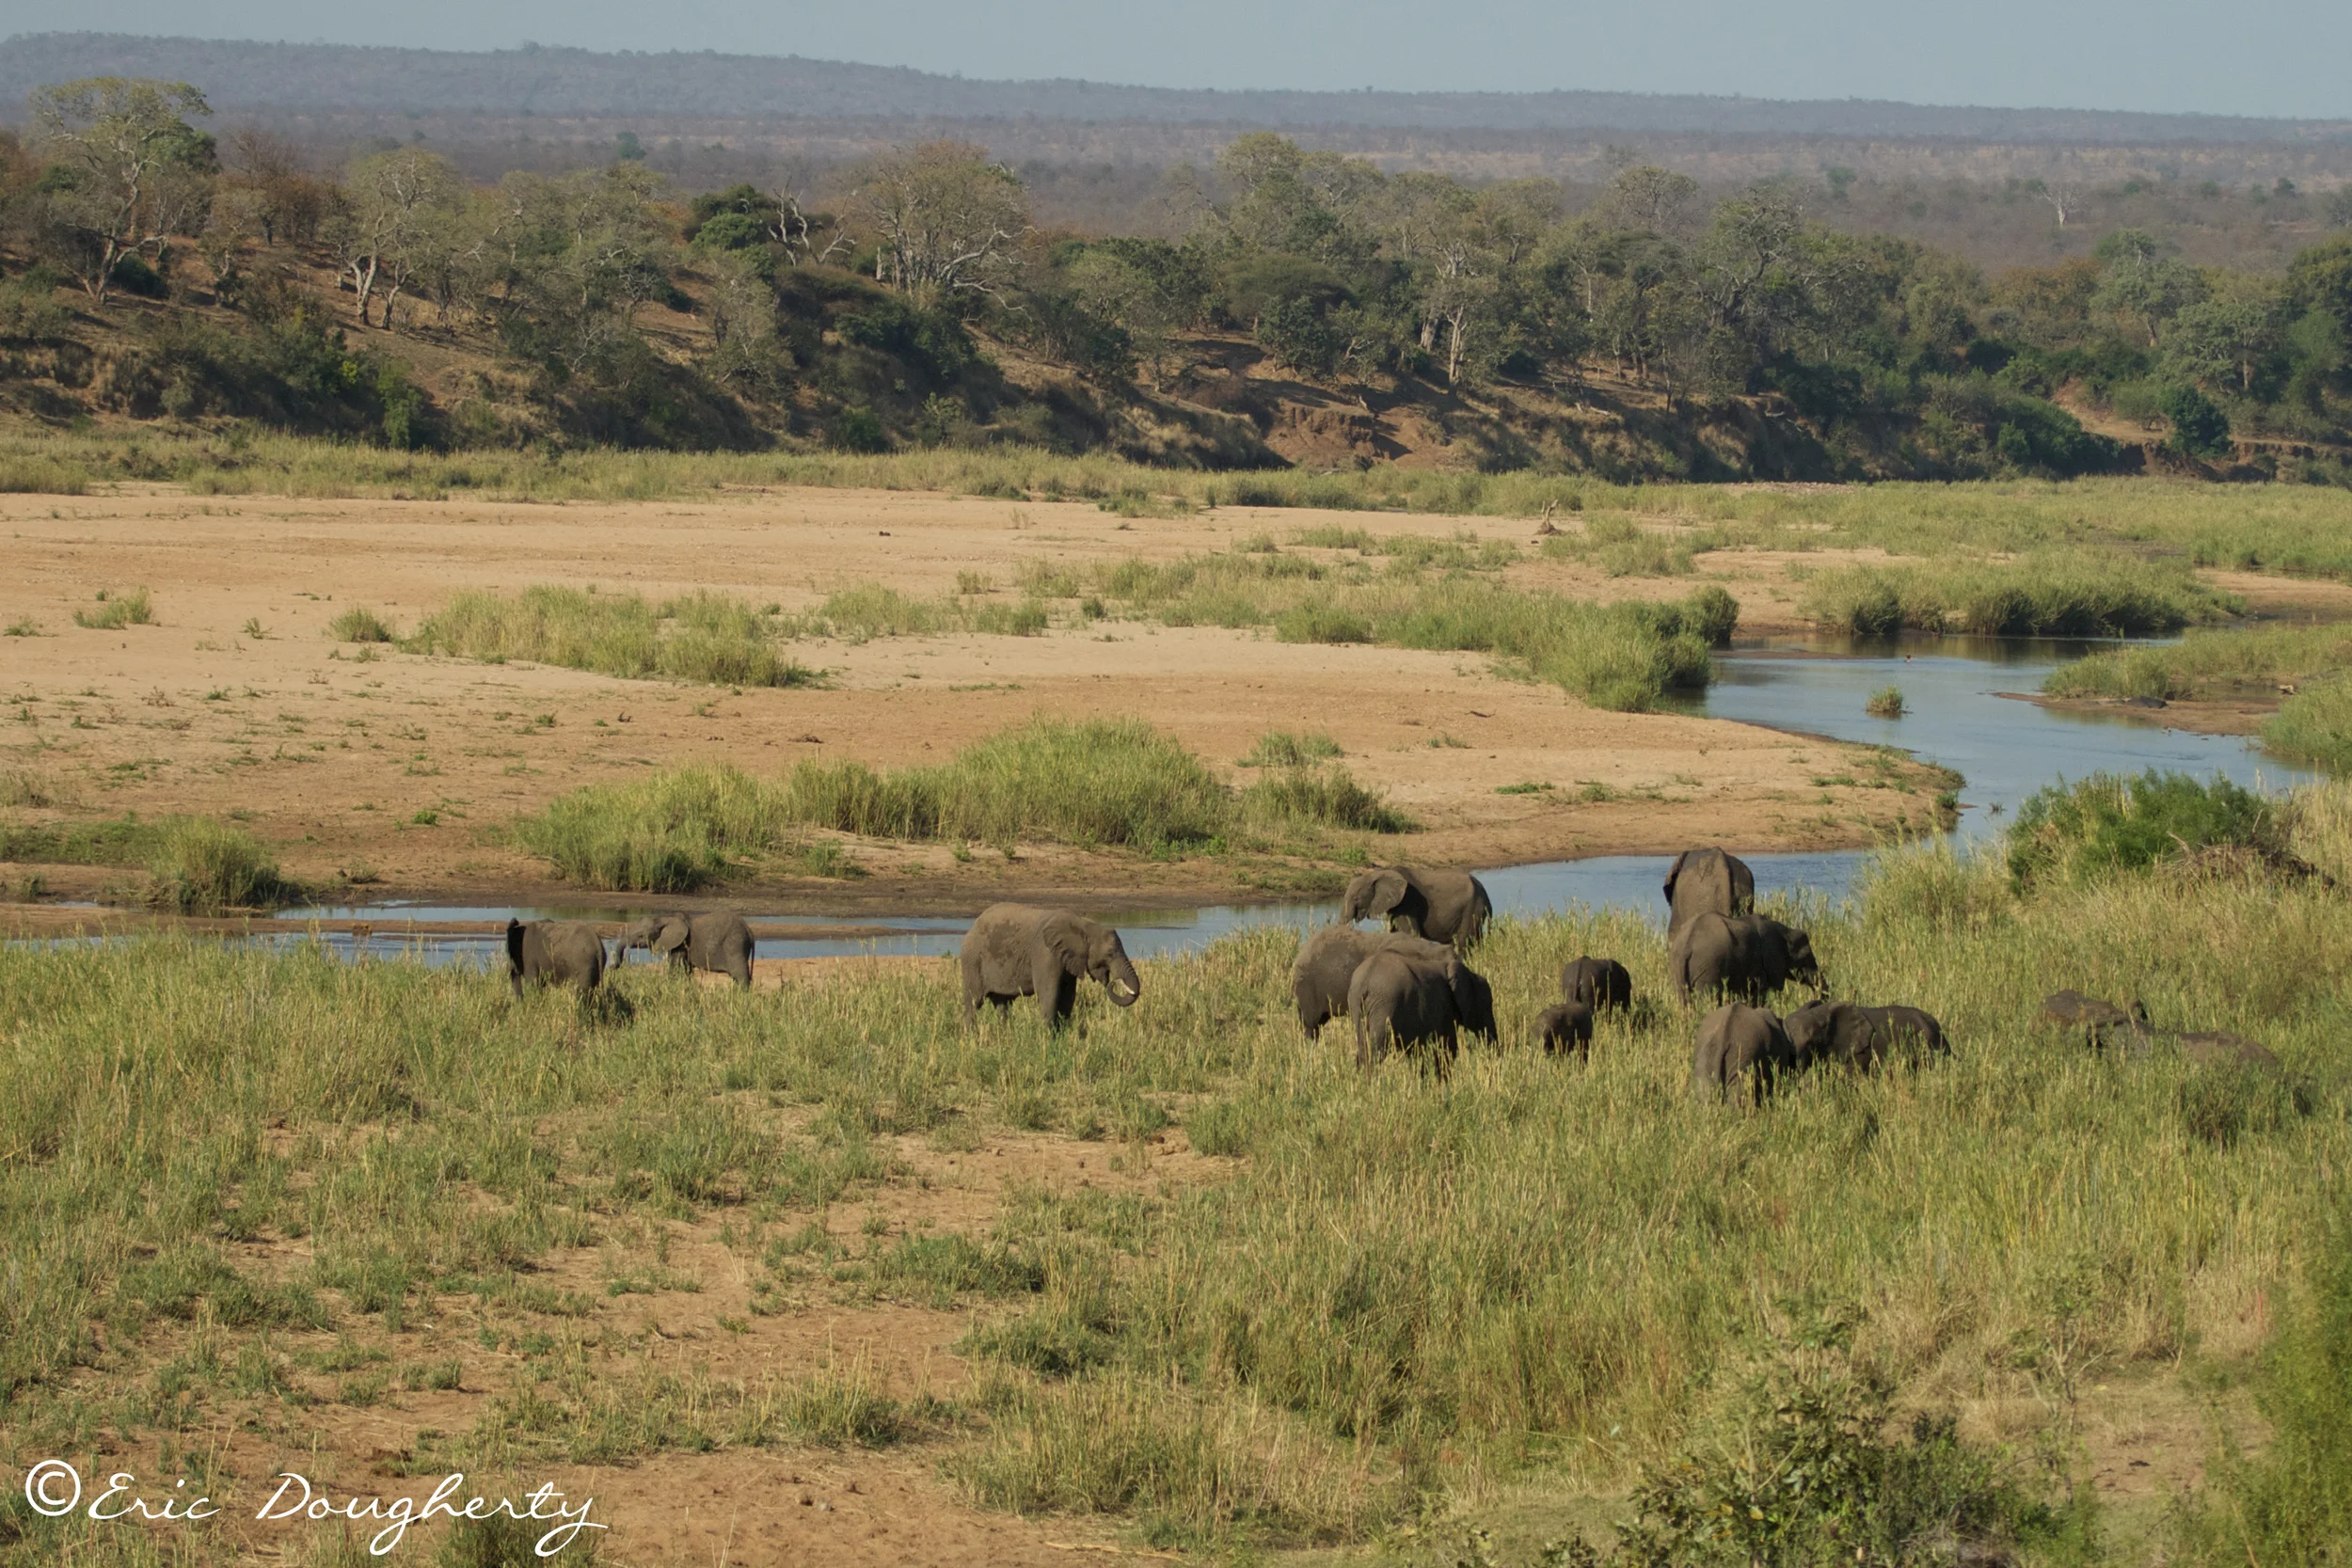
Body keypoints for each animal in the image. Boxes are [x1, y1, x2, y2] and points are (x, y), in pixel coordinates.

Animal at [615, 911, 754, 989]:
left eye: (641, 936)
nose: (615, 967)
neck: (664, 918)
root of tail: (749, 930)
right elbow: (686, 969)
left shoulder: (681, 943)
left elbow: (675, 967)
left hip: (735, 945)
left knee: (741, 975)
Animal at [960, 904, 1141, 1026]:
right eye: (1110, 954)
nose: (1114, 981)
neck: (1084, 925)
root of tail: (972, 927)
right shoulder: (1045, 954)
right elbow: (1049, 994)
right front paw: (1048, 1039)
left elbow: (1068, 997)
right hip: (972, 961)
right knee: (973, 1003)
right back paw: (971, 1037)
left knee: (1002, 1004)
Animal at [1341, 866, 1492, 949]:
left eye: (1356, 898)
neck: (1379, 873)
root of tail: (1486, 894)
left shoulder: (1408, 902)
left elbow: (1410, 933)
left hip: (1472, 908)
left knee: (1463, 942)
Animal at [1348, 943, 1496, 1072]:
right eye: (1487, 1005)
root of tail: (1366, 980)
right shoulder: (1446, 1008)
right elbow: (1447, 1048)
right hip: (1385, 1005)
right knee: (1376, 1050)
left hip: (1357, 1004)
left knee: (1363, 1048)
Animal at [1668, 912, 1823, 1006]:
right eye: (1806, 958)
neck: (1785, 931)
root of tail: (1687, 945)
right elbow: (1759, 994)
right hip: (1708, 966)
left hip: (1678, 967)